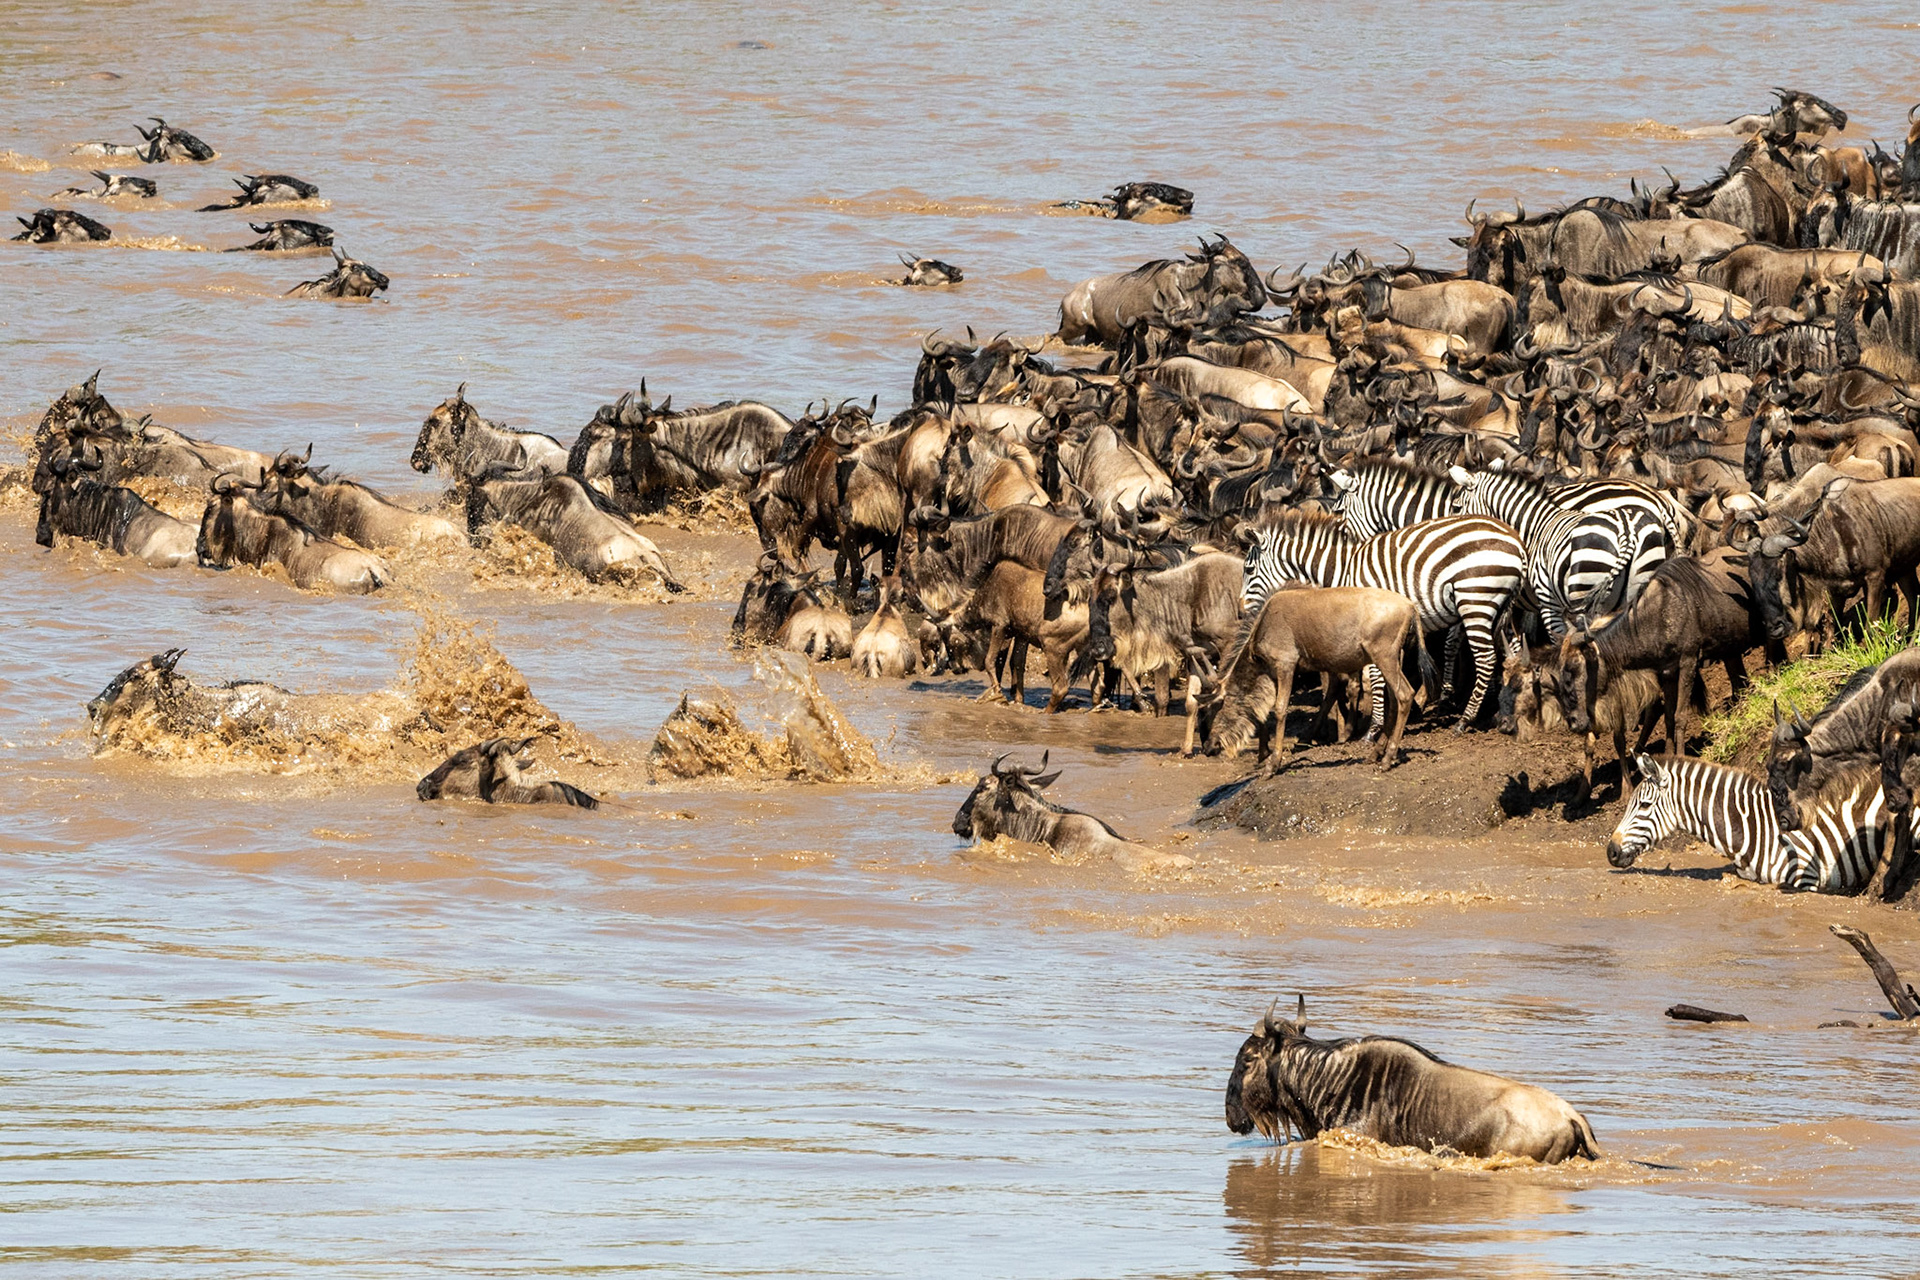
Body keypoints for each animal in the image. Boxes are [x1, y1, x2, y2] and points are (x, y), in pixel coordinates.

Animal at [1241, 510, 1525, 723]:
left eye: (1249, 569)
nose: (1241, 611)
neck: (1344, 569)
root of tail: (1515, 540)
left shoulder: (1372, 626)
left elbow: (1374, 678)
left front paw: (1375, 726)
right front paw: (1393, 717)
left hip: (1475, 598)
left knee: (1486, 659)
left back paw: (1465, 720)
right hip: (1500, 606)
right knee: (1514, 653)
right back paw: (1509, 710)